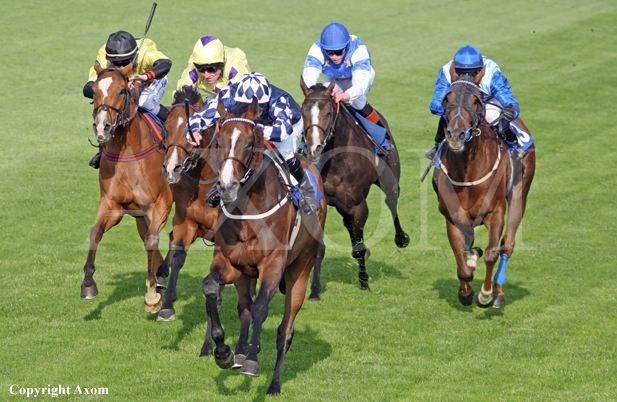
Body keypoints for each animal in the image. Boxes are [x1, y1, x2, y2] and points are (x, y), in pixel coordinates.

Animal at [82, 62, 172, 314]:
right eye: (94, 91)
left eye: (122, 90)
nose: (102, 127)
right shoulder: (113, 204)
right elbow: (95, 232)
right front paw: (88, 284)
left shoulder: (162, 201)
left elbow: (153, 239)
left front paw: (151, 297)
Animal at [202, 98, 328, 396]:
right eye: (219, 141)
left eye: (249, 143)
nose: (226, 187)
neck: (249, 211)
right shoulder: (230, 262)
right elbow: (211, 287)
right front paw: (223, 351)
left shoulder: (273, 264)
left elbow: (261, 308)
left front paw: (252, 361)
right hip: (245, 274)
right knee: (245, 308)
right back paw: (239, 350)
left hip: (301, 268)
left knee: (285, 330)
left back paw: (274, 382)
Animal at [300, 76, 410, 288]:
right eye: (303, 112)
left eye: (328, 112)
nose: (314, 149)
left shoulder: (359, 204)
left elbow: (358, 246)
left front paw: (364, 281)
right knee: (348, 222)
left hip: (390, 179)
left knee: (391, 201)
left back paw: (401, 238)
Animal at [434, 72, 536, 310]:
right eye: (447, 99)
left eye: (475, 100)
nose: (455, 135)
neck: (467, 172)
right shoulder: (452, 216)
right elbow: (462, 255)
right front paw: (466, 290)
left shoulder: (495, 211)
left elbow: (491, 252)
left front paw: (486, 294)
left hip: (519, 193)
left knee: (507, 244)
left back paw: (498, 292)